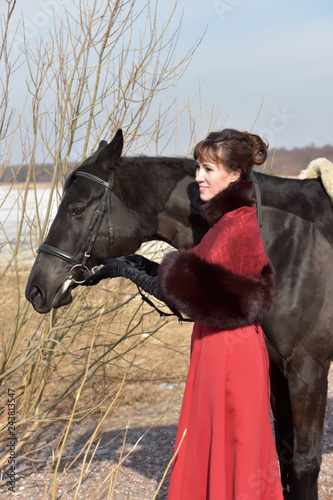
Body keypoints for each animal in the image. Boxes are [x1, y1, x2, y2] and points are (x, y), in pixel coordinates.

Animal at [26, 130, 332, 500]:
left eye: (77, 209)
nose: (36, 288)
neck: (287, 242)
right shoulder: (277, 367)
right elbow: (284, 455)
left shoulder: (309, 369)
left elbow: (304, 463)